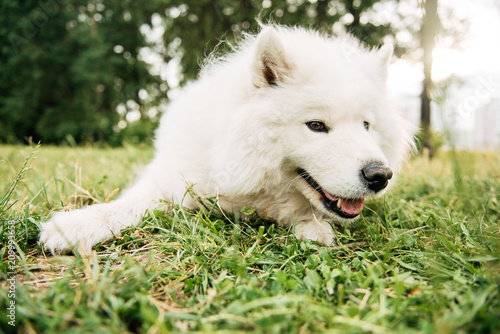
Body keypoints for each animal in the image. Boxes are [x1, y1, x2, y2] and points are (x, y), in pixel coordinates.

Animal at [39, 24, 414, 253]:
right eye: (317, 126)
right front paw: (77, 224)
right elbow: (127, 205)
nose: (380, 175)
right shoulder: (178, 179)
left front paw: (312, 227)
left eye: (366, 125)